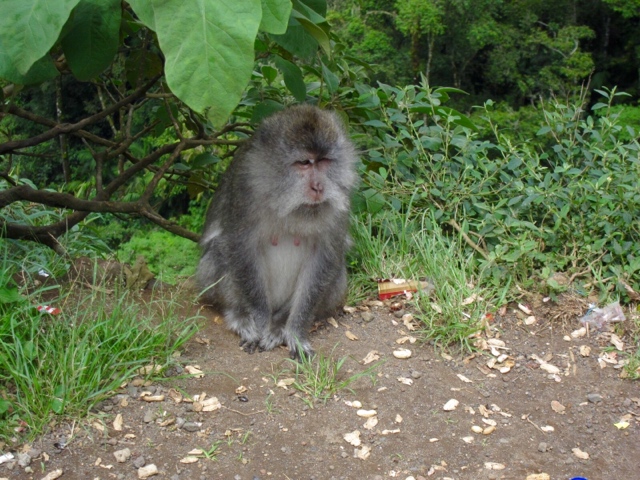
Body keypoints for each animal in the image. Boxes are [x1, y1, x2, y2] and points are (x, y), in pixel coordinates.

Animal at [196, 105, 358, 359]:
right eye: (304, 163)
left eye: (323, 161)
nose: (318, 187)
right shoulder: (245, 188)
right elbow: (240, 247)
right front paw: (260, 322)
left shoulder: (341, 195)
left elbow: (326, 257)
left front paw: (295, 332)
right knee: (219, 250)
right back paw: (241, 315)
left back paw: (280, 323)